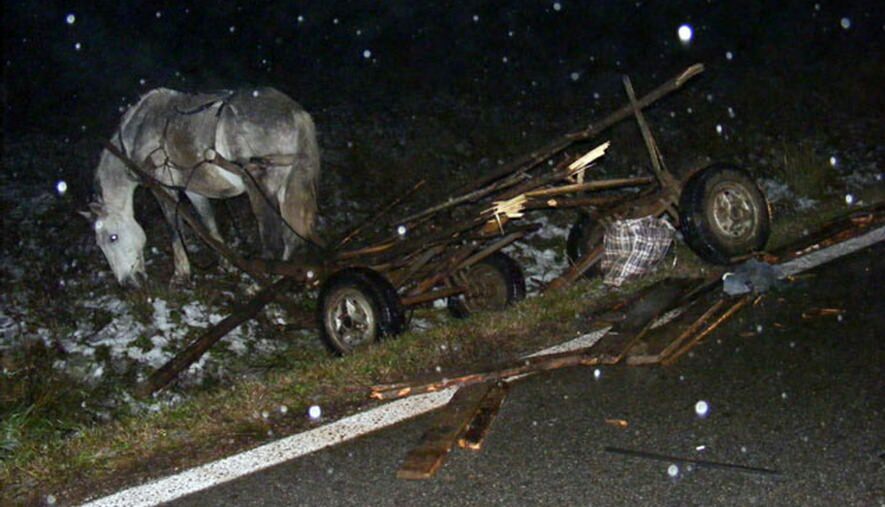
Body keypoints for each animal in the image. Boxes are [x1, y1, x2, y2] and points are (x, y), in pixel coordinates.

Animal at [83, 89, 322, 288]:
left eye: (112, 237)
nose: (128, 284)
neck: (139, 132)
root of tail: (295, 112)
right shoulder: (193, 189)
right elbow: (209, 226)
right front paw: (227, 263)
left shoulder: (162, 188)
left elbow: (174, 228)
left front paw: (181, 275)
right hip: (287, 188)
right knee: (292, 236)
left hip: (261, 188)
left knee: (273, 237)